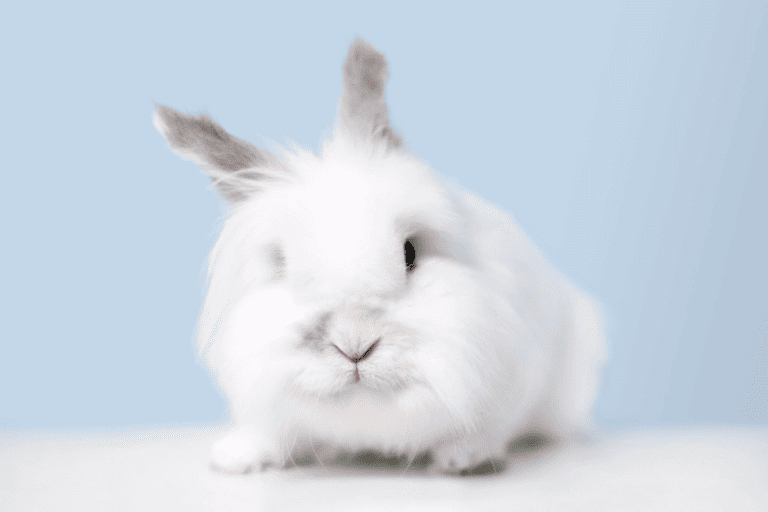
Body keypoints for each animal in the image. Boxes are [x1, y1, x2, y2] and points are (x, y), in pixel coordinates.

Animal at [153, 38, 607, 475]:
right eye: (283, 266)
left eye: (410, 253)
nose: (355, 346)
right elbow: (271, 431)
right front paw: (235, 458)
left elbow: (489, 427)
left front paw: (462, 458)